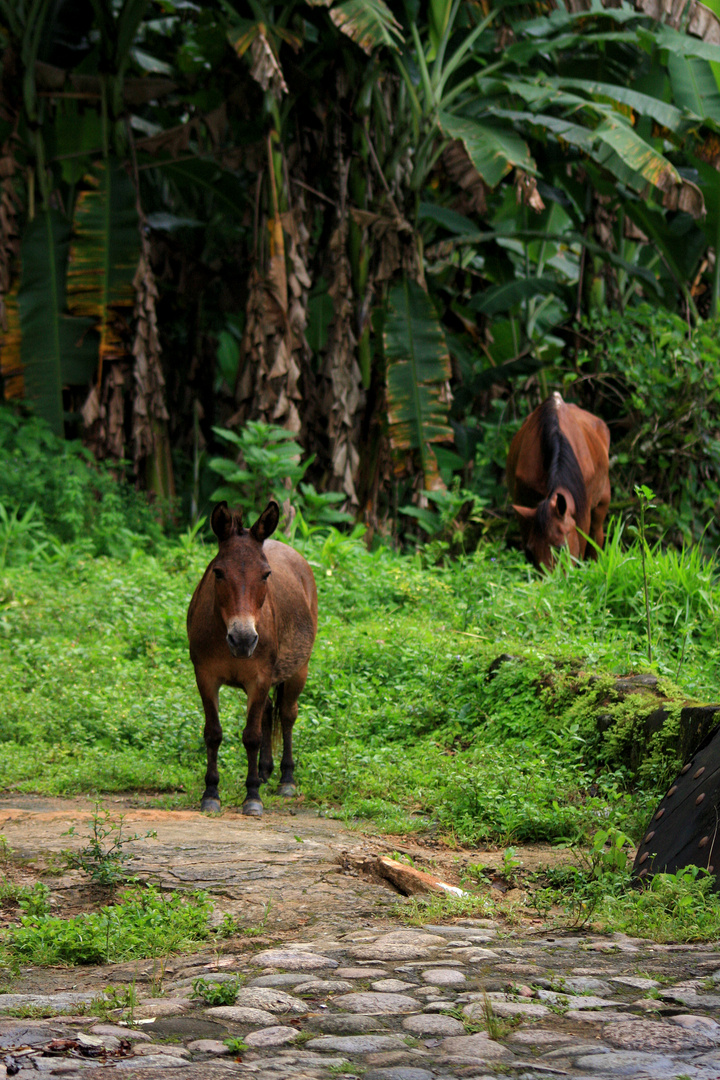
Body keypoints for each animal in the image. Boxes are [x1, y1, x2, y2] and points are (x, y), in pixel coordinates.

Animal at [188, 501, 317, 812]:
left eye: (266, 574)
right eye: (218, 572)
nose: (243, 639)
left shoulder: (259, 678)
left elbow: (252, 736)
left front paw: (253, 797)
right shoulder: (205, 677)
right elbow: (213, 733)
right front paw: (211, 793)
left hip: (299, 670)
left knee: (287, 714)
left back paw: (286, 779)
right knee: (269, 711)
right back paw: (264, 771)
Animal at [505, 393, 613, 570]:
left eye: (561, 547)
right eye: (531, 552)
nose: (551, 577)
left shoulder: (582, 513)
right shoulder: (524, 509)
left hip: (601, 505)